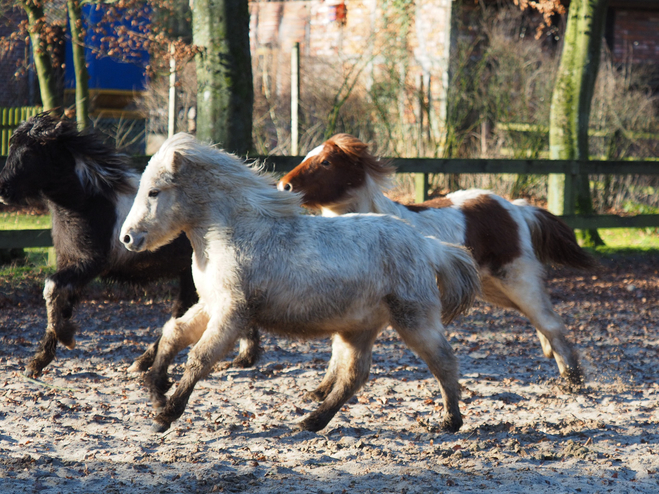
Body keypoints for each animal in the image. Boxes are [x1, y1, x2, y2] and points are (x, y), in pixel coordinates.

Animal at [0, 115, 260, 378]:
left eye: (30, 152)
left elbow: (52, 288)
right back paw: (242, 358)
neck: (88, 203)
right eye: (11, 148)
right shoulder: (70, 264)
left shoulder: (89, 264)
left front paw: (65, 339)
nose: (3, 190)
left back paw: (144, 362)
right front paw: (39, 361)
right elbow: (60, 302)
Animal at [120, 134, 480, 432]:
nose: (127, 238)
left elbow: (200, 358)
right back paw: (312, 421)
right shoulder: (211, 304)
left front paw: (165, 414)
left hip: (413, 321)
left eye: (154, 192)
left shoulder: (232, 313)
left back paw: (449, 421)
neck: (233, 233)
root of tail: (428, 245)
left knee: (443, 362)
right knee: (354, 377)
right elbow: (174, 333)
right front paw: (156, 388)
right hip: (358, 329)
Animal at [278, 133, 600, 384]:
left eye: (326, 162)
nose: (284, 186)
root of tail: (516, 207)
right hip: (493, 288)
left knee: (550, 321)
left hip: (516, 278)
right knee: (540, 318)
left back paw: (573, 379)